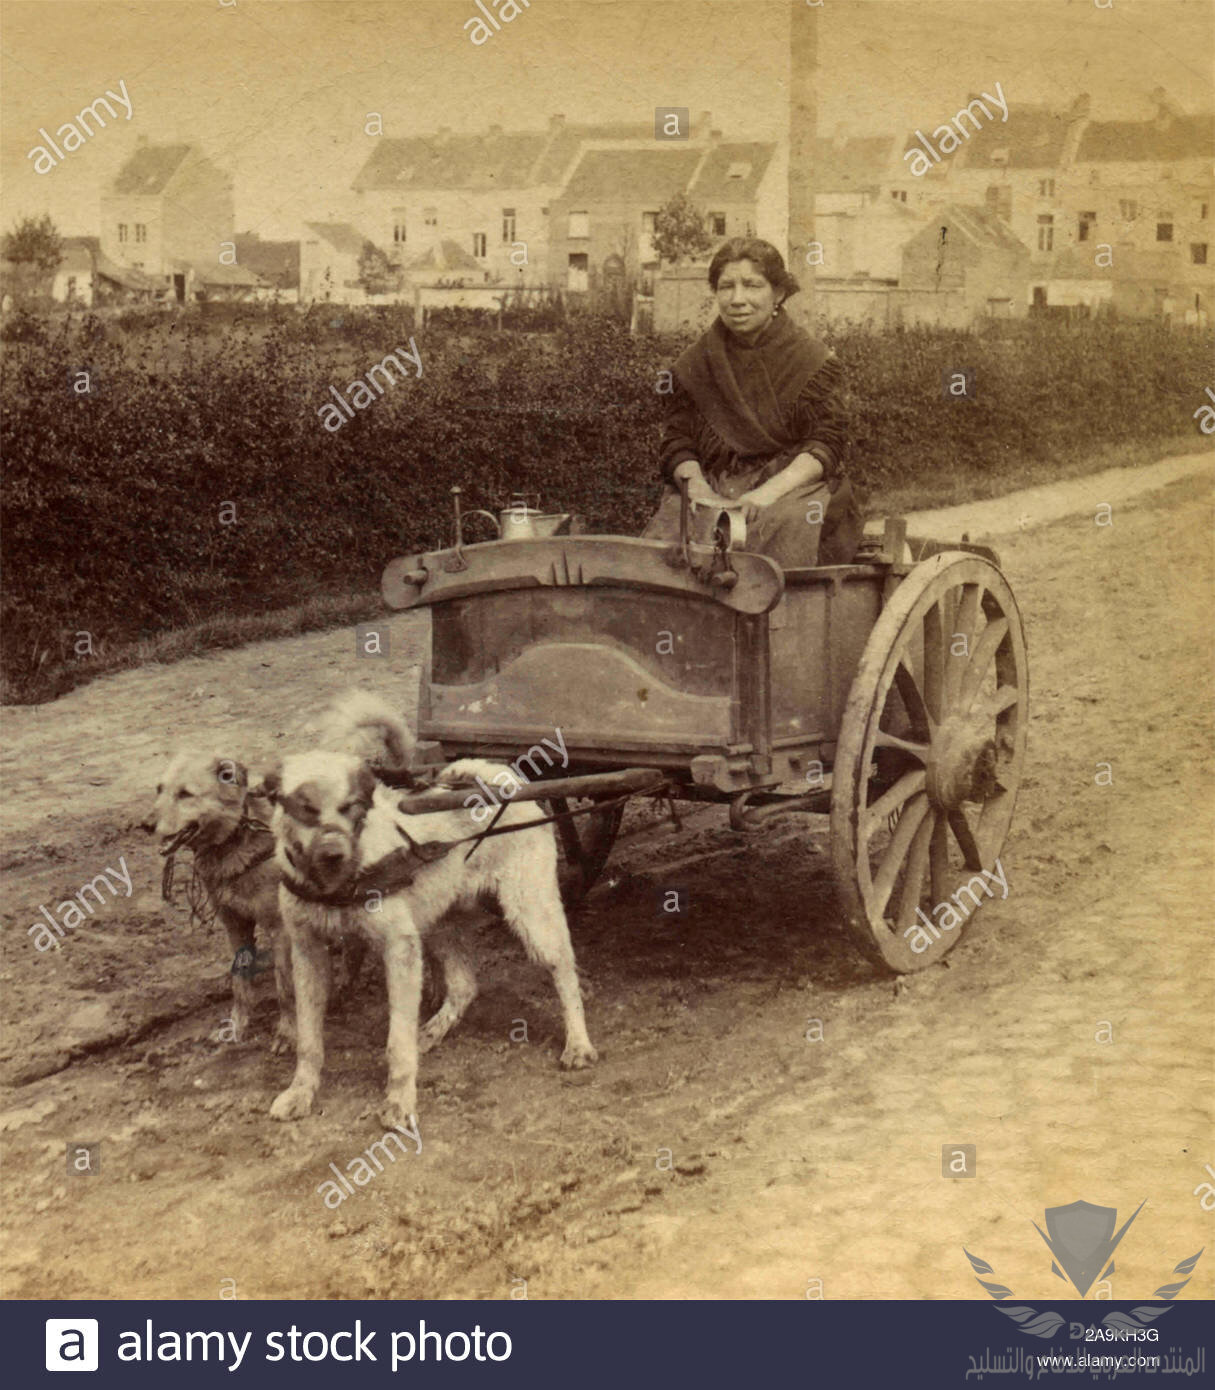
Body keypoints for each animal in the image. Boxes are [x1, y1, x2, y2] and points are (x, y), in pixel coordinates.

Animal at [262, 692, 594, 1128]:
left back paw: (578, 1043)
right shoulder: (308, 953)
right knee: (465, 985)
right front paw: (301, 1091)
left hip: (532, 916)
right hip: (439, 923)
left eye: (352, 806)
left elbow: (396, 1042)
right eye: (304, 807)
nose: (334, 854)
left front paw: (399, 1099)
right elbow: (309, 1039)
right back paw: (433, 1031)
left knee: (564, 972)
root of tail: (496, 778)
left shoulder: (399, 950)